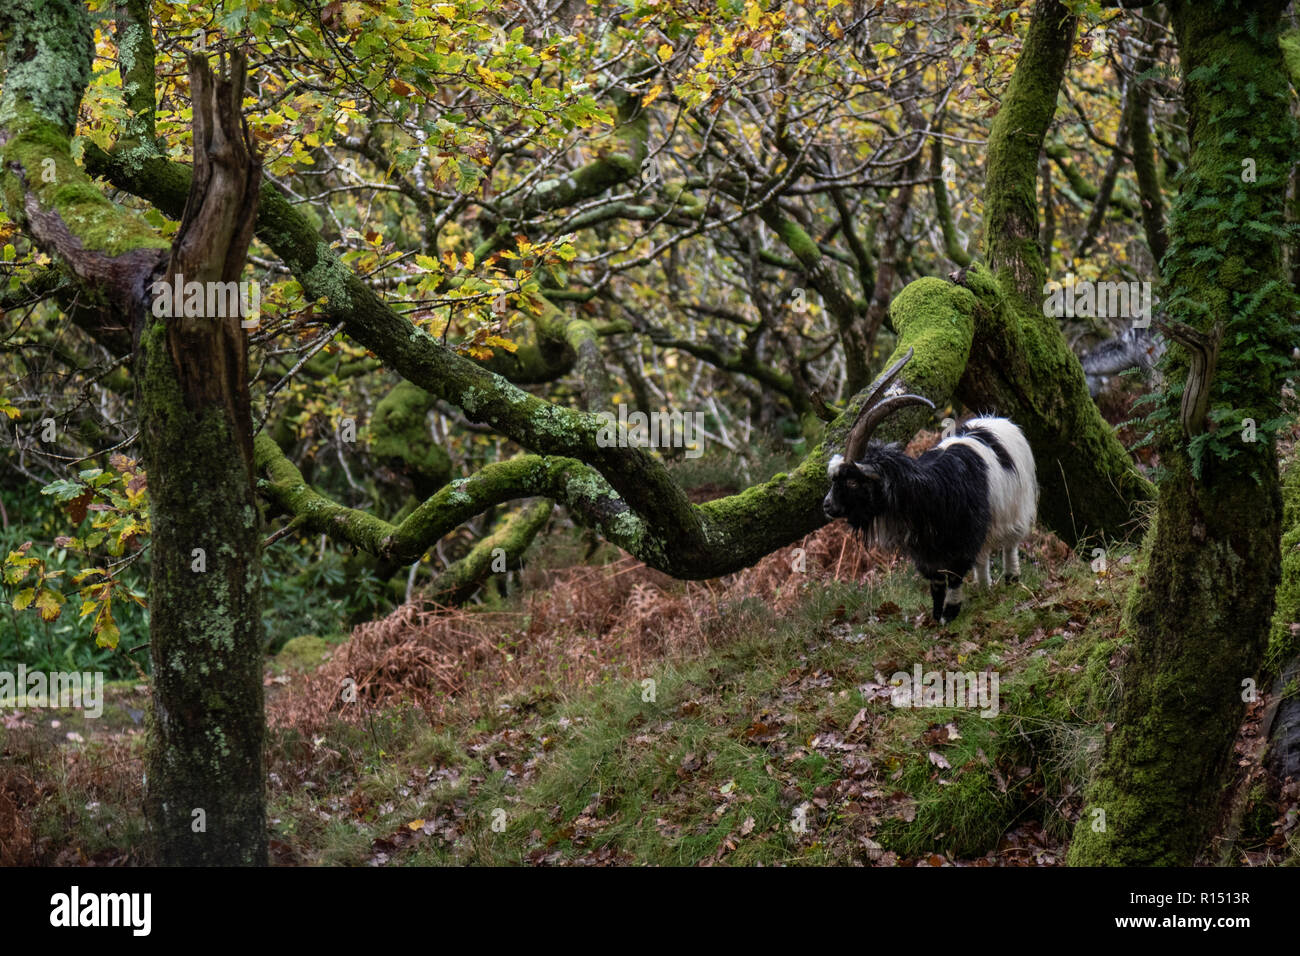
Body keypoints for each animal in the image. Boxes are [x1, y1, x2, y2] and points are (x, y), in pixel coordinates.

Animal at [822, 348, 1038, 623]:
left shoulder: (964, 537)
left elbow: (955, 575)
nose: (827, 505)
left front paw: (952, 611)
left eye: (851, 480)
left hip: (1016, 507)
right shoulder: (925, 550)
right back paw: (983, 587)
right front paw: (937, 616)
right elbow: (936, 581)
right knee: (983, 556)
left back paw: (1011, 578)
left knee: (1010, 543)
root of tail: (996, 422)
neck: (930, 491)